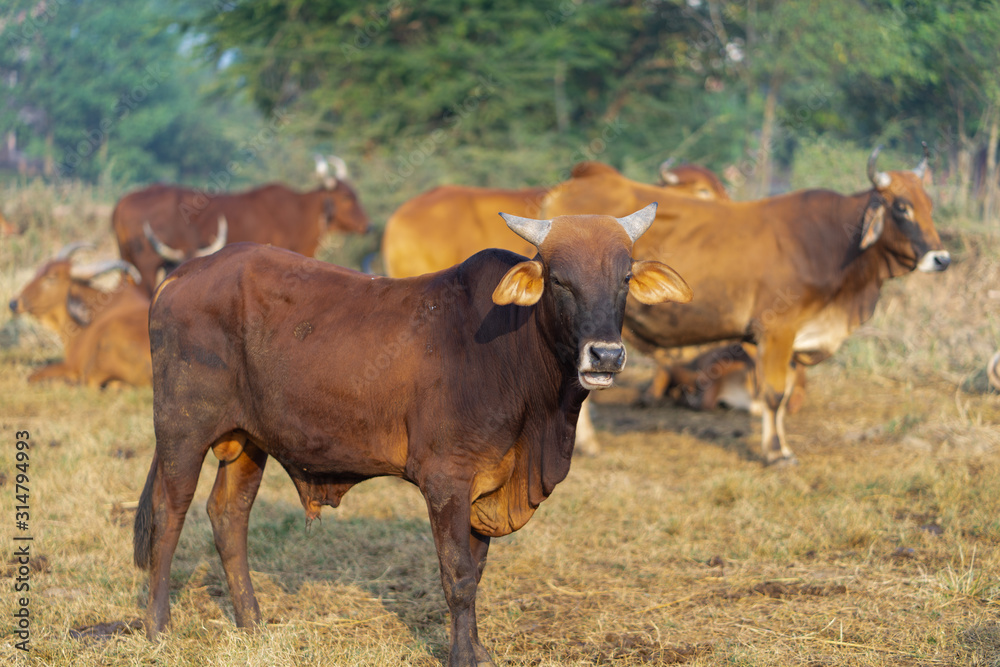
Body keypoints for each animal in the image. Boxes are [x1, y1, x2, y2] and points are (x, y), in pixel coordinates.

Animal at [113, 157, 370, 294]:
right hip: (146, 268)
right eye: (346, 197)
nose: (369, 226)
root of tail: (124, 201)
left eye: (355, 193)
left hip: (128, 264)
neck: (297, 211)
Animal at [137, 206, 692, 664]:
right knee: (169, 515)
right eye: (560, 280)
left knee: (229, 516)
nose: (606, 355)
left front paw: (477, 649)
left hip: (248, 441)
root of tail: (182, 275)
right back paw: (158, 630)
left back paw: (253, 626)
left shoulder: (483, 486)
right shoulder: (446, 480)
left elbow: (476, 571)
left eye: (624, 278)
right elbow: (459, 576)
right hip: (182, 430)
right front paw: (464, 657)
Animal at [544, 149, 948, 468]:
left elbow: (782, 398)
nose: (941, 258)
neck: (834, 246)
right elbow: (773, 394)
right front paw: (776, 453)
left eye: (929, 206)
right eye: (902, 207)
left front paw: (781, 446)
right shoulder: (778, 330)